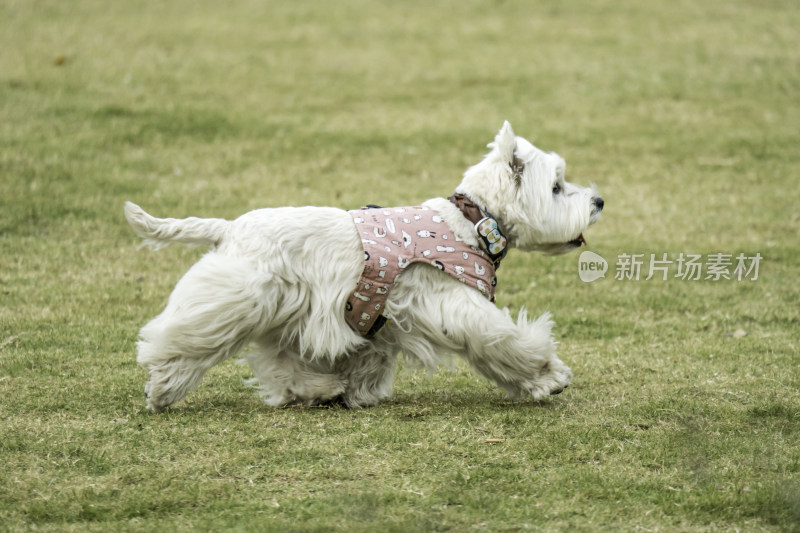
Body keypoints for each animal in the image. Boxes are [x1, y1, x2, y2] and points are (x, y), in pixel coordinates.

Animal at [123, 121, 600, 412]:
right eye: (556, 187)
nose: (598, 201)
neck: (472, 221)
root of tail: (228, 228)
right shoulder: (452, 303)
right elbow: (505, 341)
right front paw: (551, 376)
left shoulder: (377, 320)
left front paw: (357, 390)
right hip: (237, 300)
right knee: (182, 340)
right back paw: (161, 387)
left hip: (280, 313)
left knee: (280, 362)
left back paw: (322, 389)